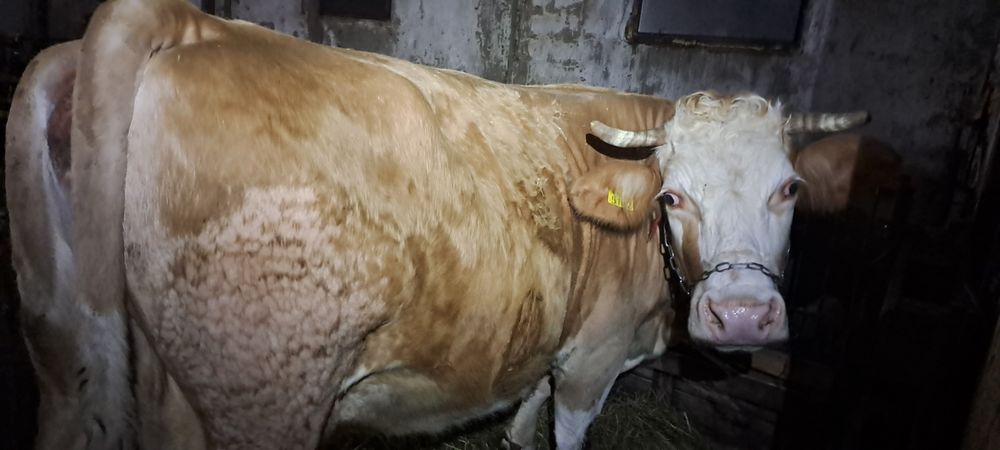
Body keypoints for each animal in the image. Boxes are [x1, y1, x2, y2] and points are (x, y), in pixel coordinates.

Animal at [5, 0, 873, 448]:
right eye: (672, 197)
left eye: (790, 189)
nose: (742, 316)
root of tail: (190, 20)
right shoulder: (592, 358)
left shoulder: (551, 347)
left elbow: (521, 426)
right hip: (261, 396)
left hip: (60, 347)